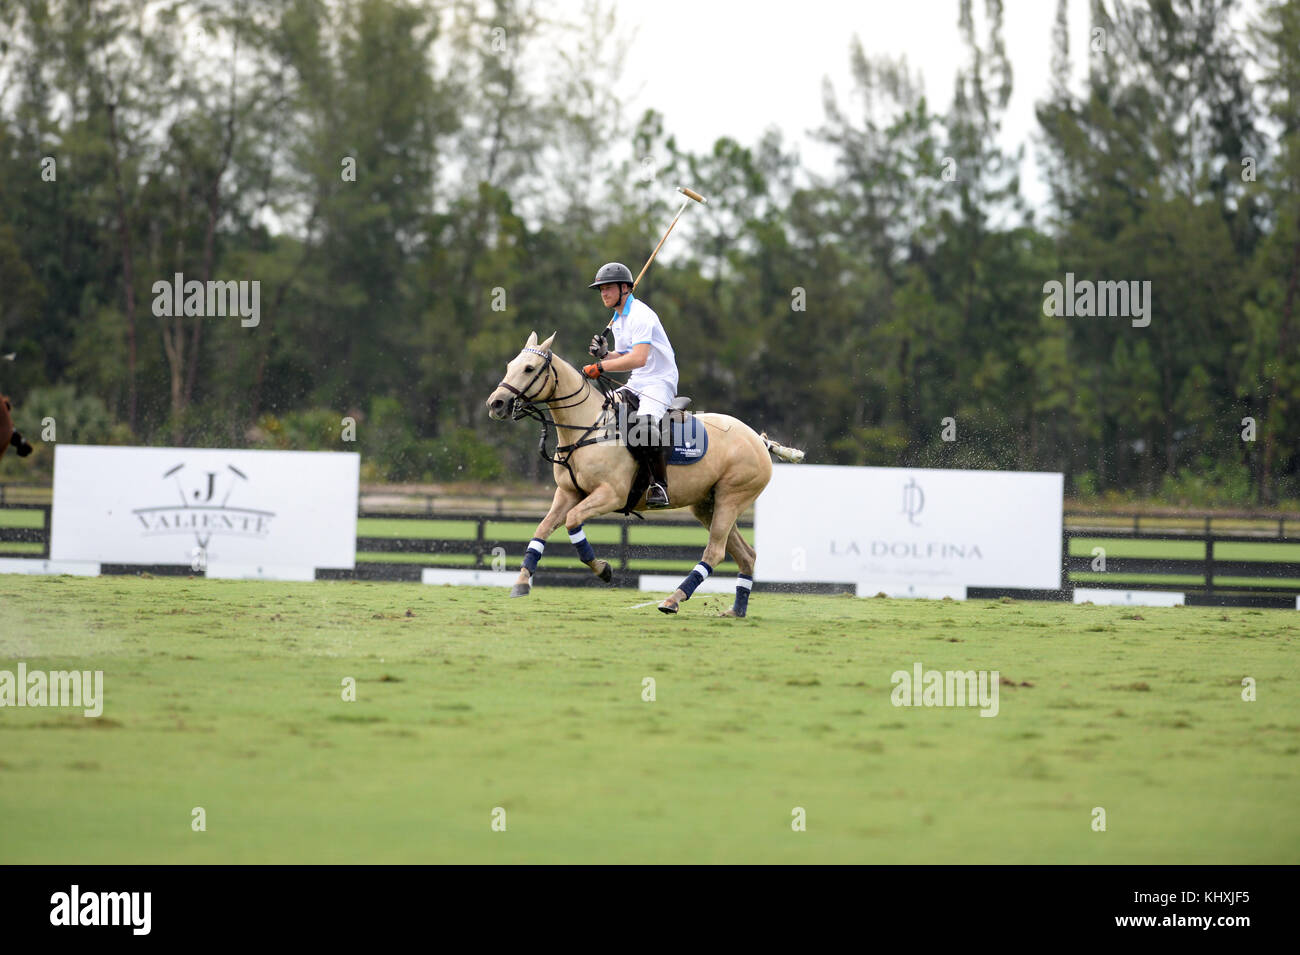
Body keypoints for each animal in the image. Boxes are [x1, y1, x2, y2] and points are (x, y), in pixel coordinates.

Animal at [486, 335, 800, 615]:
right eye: (510, 365)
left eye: (529, 368)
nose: (496, 404)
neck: (587, 427)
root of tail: (758, 439)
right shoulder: (568, 492)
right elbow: (541, 530)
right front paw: (522, 582)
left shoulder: (610, 494)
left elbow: (573, 521)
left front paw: (603, 569)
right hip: (707, 504)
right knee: (746, 555)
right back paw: (736, 610)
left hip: (732, 497)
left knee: (715, 552)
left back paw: (673, 600)